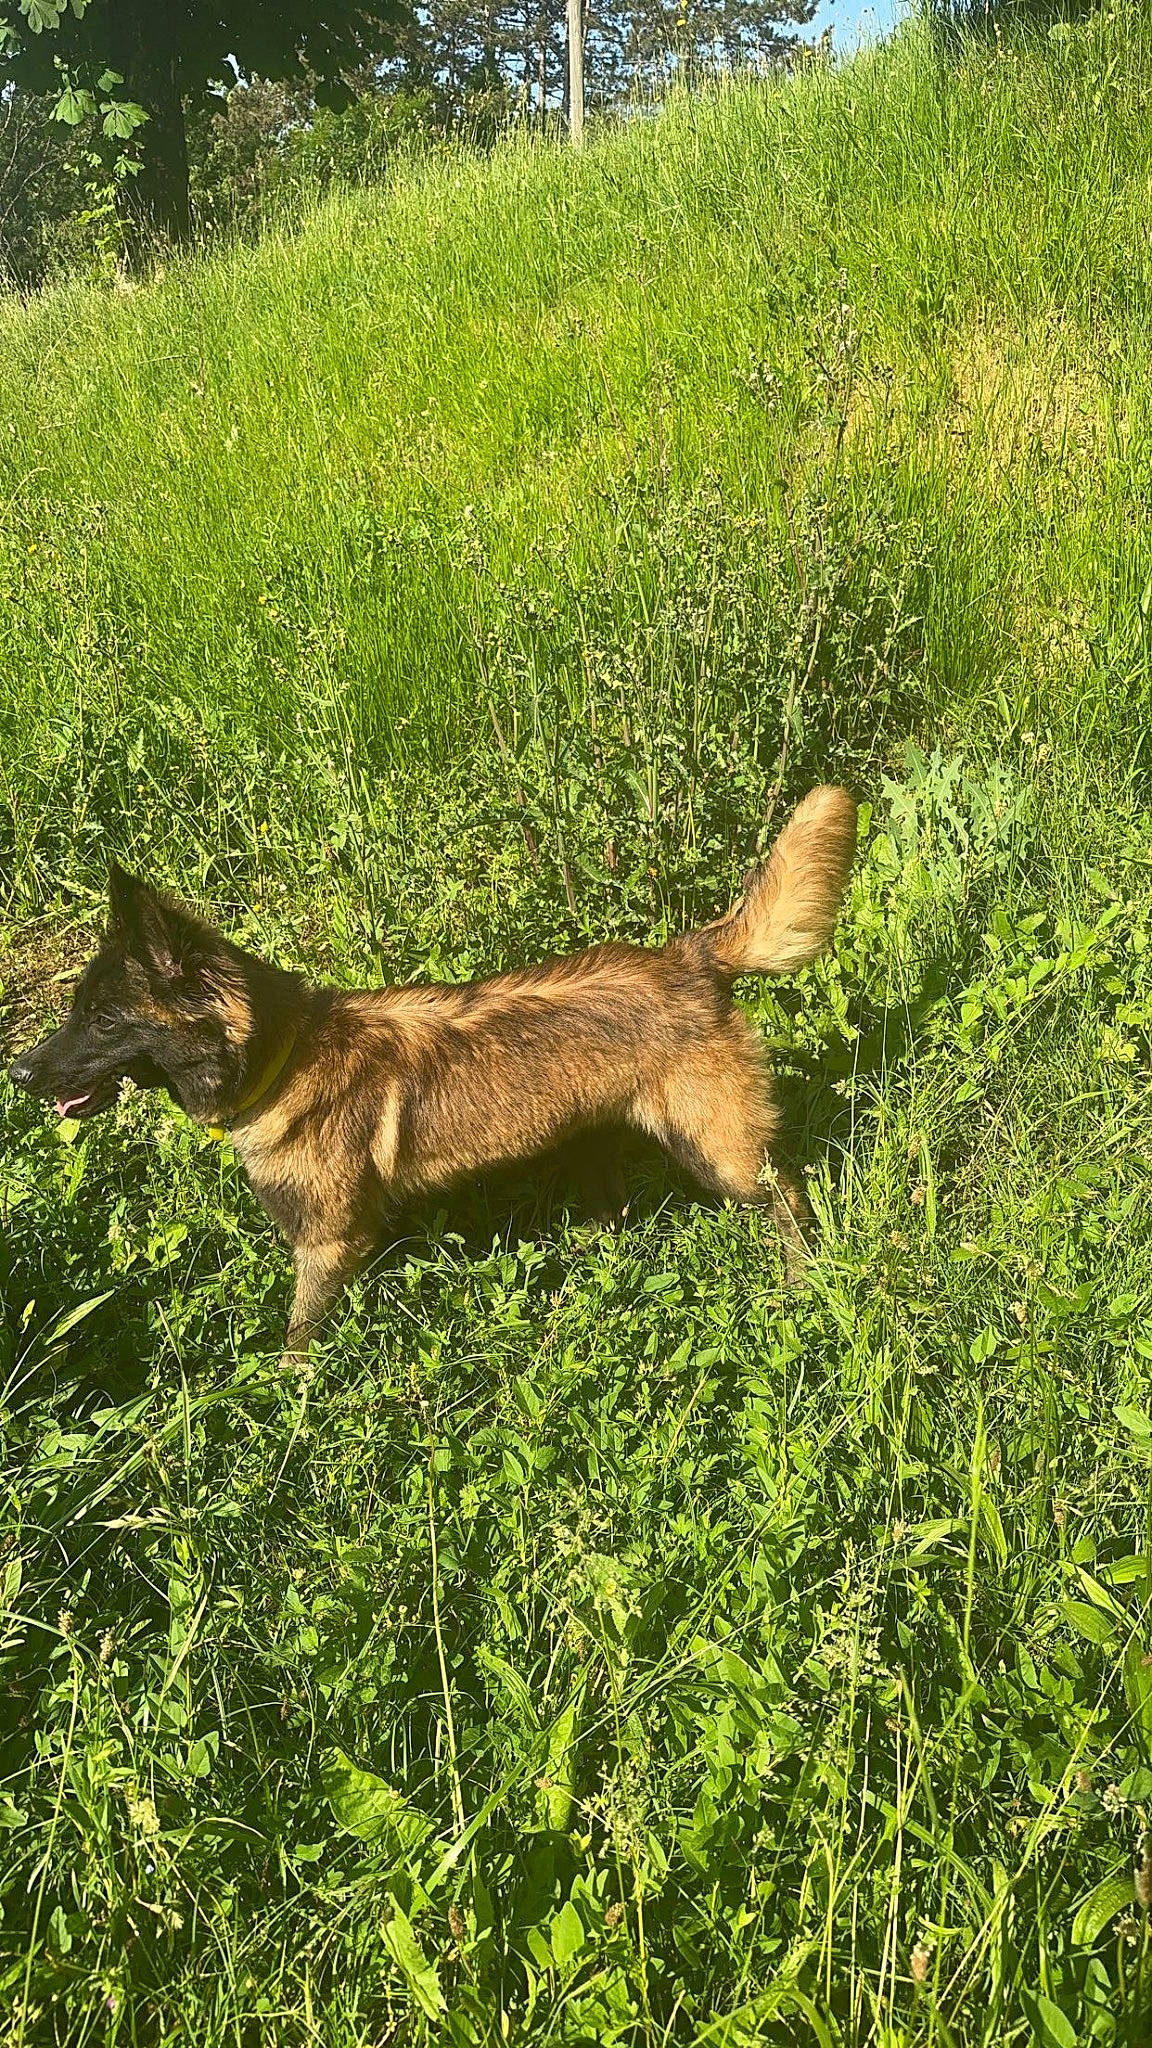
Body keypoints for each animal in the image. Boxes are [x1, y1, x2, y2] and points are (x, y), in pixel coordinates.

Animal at [7, 786, 857, 1364]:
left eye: (104, 1020)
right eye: (79, 1011)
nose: (17, 1072)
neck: (281, 1057)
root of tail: (691, 956)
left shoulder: (325, 1247)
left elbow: (296, 1345)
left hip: (719, 1151)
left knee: (787, 1192)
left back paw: (802, 1284)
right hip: (603, 1141)